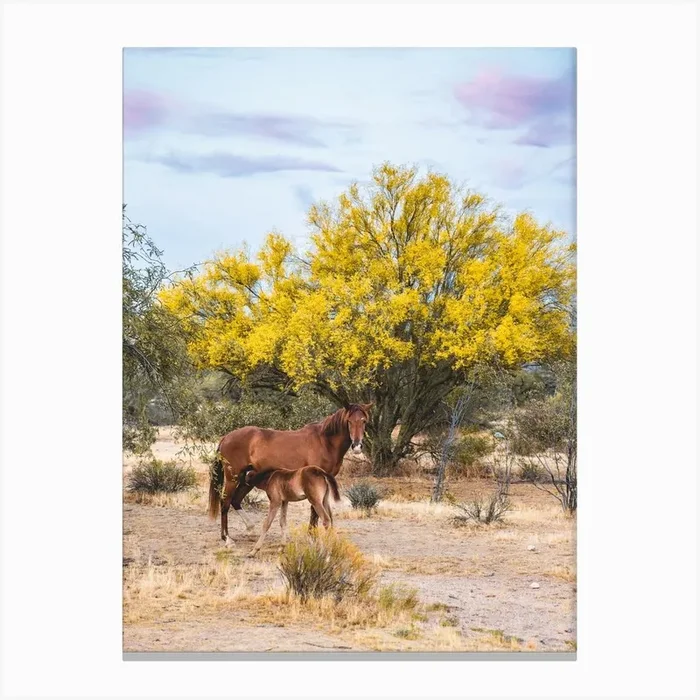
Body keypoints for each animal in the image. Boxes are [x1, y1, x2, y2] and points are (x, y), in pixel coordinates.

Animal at [208, 403, 372, 544]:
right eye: (349, 421)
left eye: (363, 421)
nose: (357, 446)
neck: (325, 441)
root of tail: (226, 438)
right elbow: (314, 511)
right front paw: (311, 537)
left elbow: (317, 511)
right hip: (232, 478)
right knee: (225, 502)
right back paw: (227, 538)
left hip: (246, 478)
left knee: (235, 500)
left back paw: (250, 528)